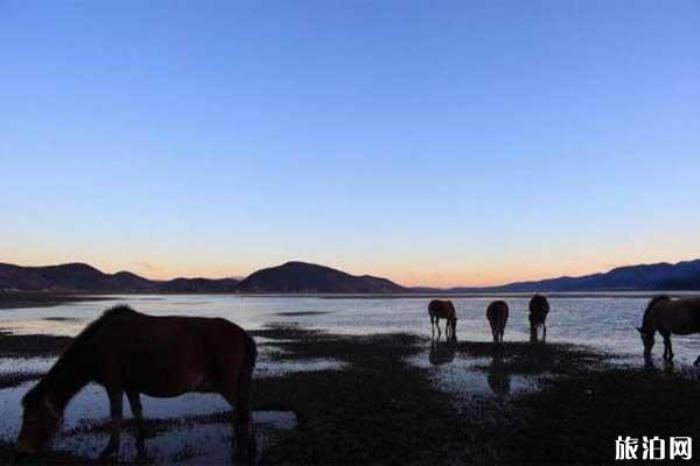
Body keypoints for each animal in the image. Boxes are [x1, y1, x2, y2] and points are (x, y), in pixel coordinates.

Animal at [15, 306, 258, 462]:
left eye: (32, 417)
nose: (21, 449)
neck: (96, 347)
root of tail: (244, 335)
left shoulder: (114, 385)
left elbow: (116, 414)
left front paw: (110, 448)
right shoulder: (130, 386)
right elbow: (137, 410)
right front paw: (141, 439)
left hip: (227, 383)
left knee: (242, 411)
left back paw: (246, 446)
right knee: (242, 411)